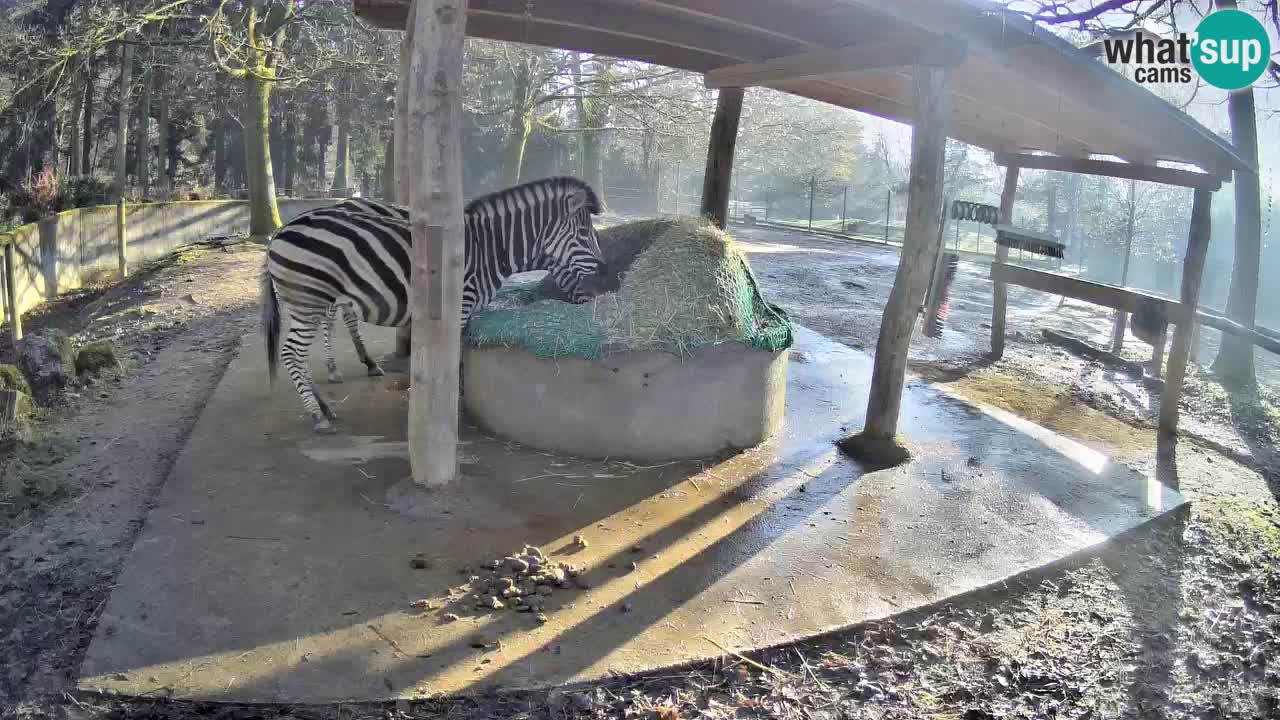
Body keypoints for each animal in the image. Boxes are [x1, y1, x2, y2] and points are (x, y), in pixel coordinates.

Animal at [261, 176, 607, 433]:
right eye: (584, 233)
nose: (604, 280)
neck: (487, 248)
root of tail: (278, 232)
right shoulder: (461, 306)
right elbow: (457, 358)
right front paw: (455, 403)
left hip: (310, 299)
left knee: (302, 351)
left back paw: (325, 404)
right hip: (309, 297)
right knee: (292, 353)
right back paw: (318, 415)